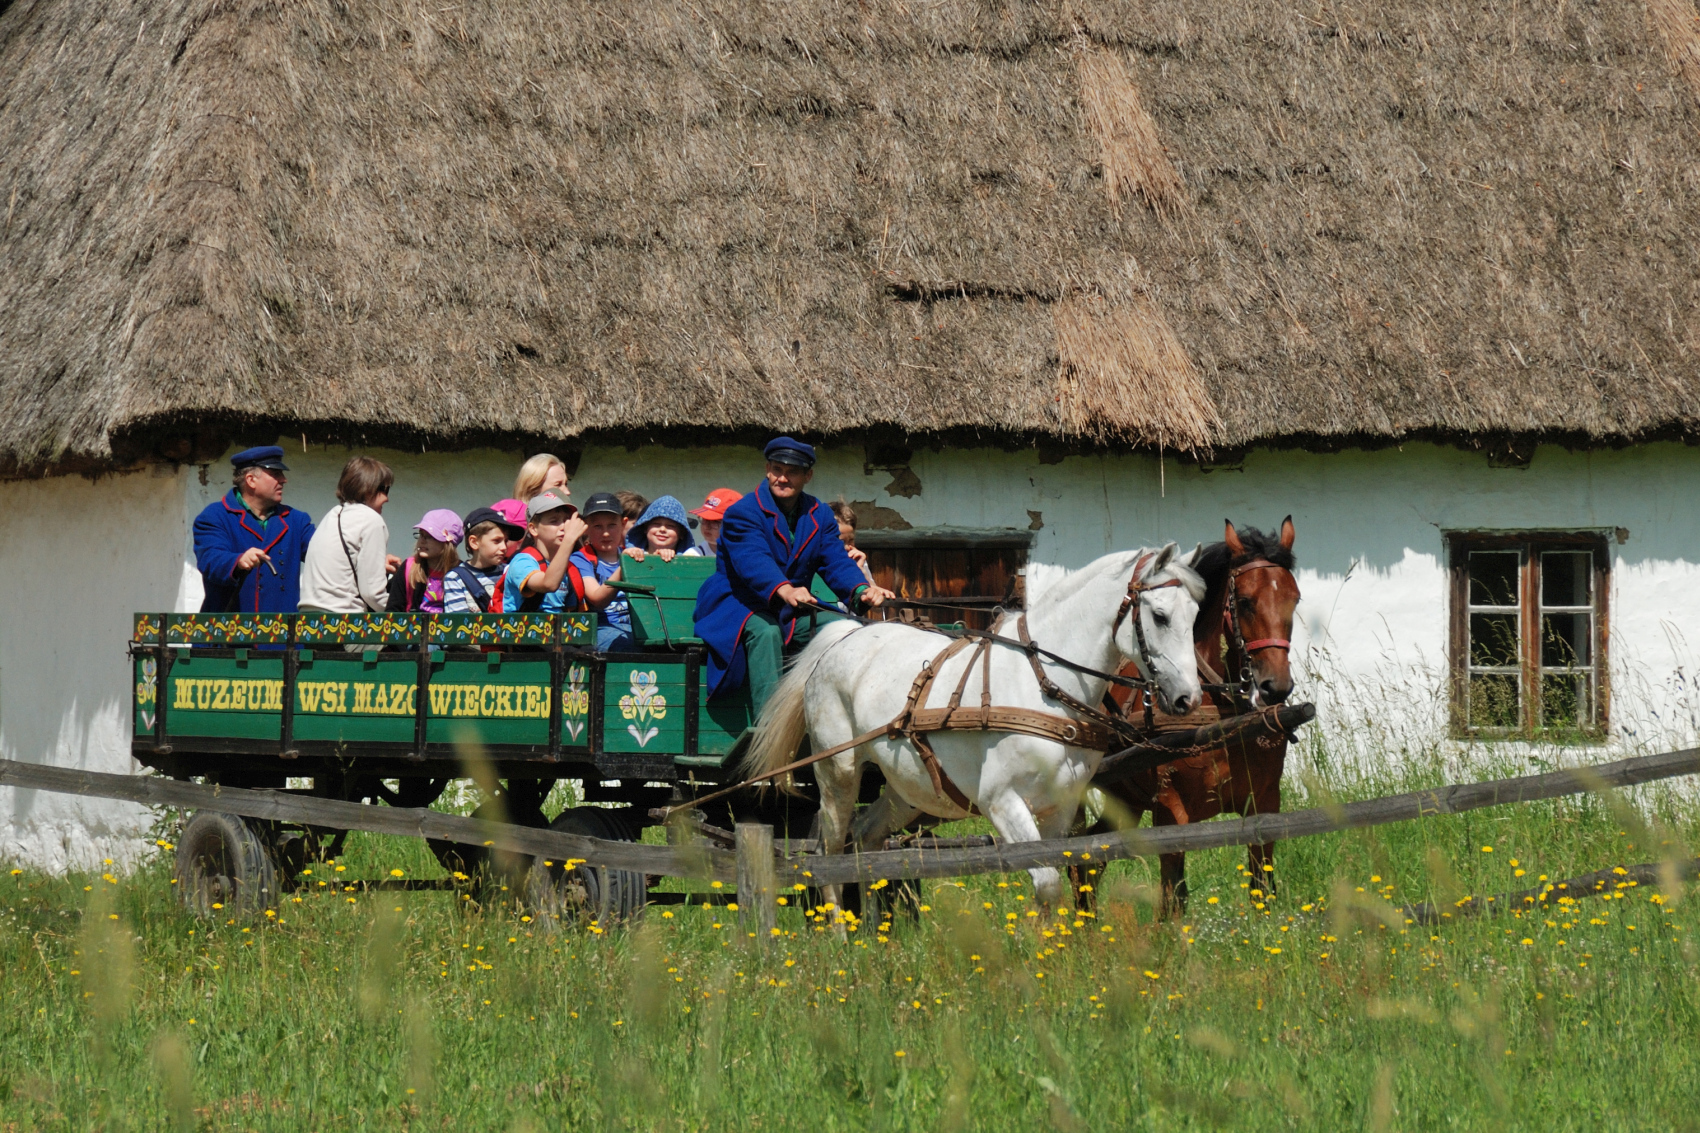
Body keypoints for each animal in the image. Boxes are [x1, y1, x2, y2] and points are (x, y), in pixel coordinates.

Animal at [748, 544, 1210, 905]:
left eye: (1195, 617)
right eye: (1161, 616)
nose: (1188, 698)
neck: (1042, 682)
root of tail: (844, 636)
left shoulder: (1060, 807)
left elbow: (1055, 883)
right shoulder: (1001, 801)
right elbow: (1046, 883)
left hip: (908, 790)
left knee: (864, 842)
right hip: (837, 775)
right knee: (828, 857)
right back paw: (842, 936)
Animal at [1088, 517, 1298, 911]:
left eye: (1295, 599)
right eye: (1245, 602)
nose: (1275, 687)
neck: (1218, 716)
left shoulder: (1265, 802)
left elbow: (1262, 888)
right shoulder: (1170, 812)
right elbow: (1173, 899)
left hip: (1124, 801)